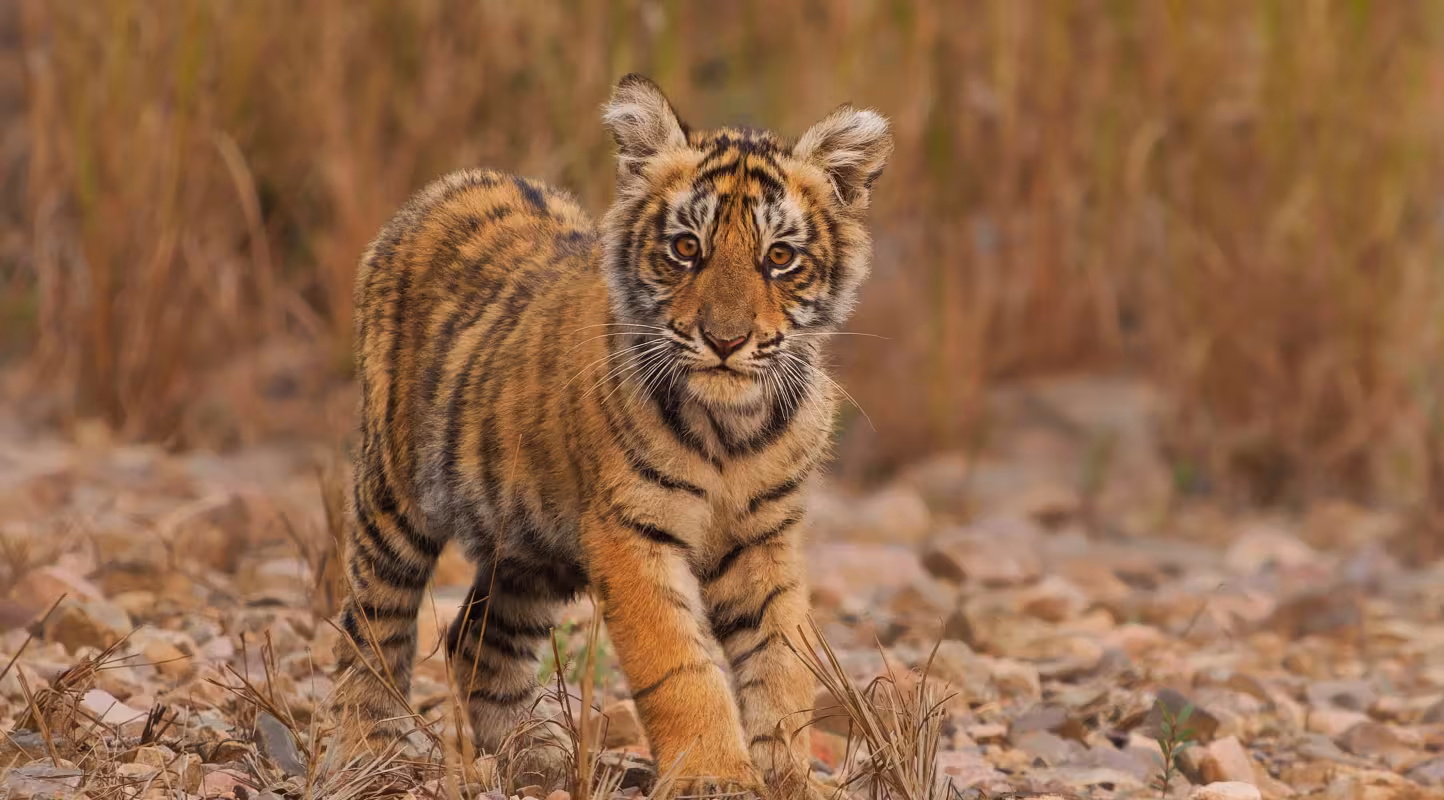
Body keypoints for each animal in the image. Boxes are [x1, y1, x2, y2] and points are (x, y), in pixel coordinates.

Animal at [328, 73, 892, 797]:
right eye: (687, 248)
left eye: (779, 258)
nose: (726, 341)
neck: (732, 428)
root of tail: (451, 183)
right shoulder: (629, 533)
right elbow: (679, 664)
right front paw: (714, 774)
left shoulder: (765, 537)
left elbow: (782, 660)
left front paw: (789, 774)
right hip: (397, 498)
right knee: (372, 625)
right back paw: (369, 749)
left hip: (530, 547)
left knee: (477, 642)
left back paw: (533, 759)